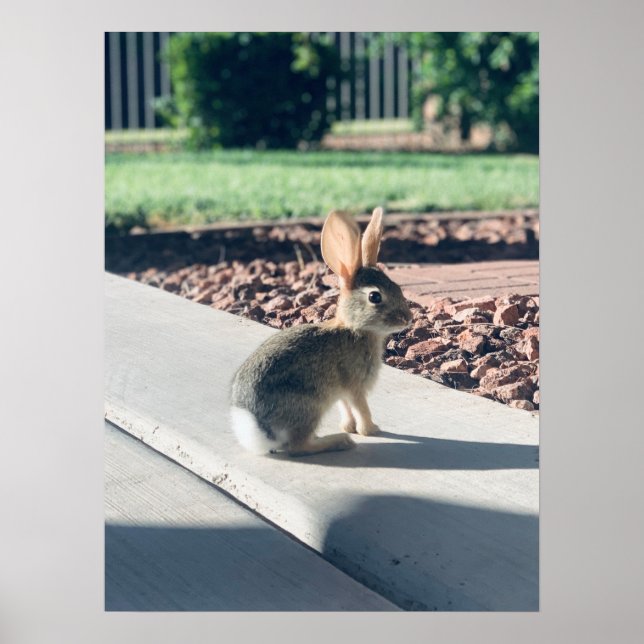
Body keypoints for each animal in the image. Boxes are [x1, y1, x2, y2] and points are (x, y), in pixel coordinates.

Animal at [229, 207, 412, 457]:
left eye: (398, 287)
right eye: (375, 296)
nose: (408, 318)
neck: (355, 328)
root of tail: (258, 430)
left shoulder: (341, 391)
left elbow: (346, 408)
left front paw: (350, 427)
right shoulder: (355, 385)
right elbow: (361, 408)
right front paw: (371, 430)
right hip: (309, 407)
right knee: (298, 446)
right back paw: (338, 441)